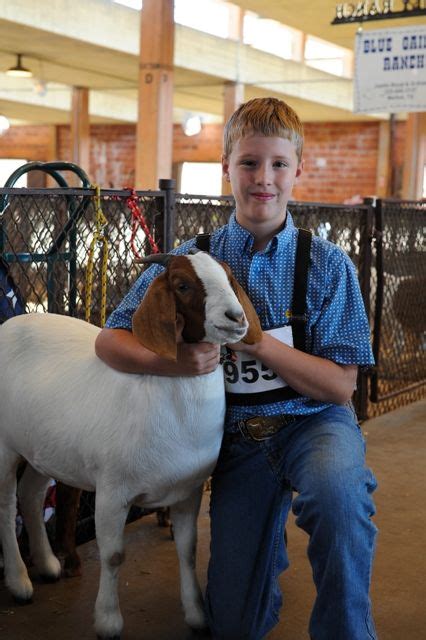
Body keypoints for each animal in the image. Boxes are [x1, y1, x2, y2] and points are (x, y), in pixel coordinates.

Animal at [0, 252, 260, 640]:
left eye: (230, 277)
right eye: (182, 285)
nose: (236, 317)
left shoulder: (188, 491)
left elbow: (188, 550)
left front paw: (197, 615)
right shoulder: (112, 492)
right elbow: (113, 556)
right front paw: (108, 622)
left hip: (45, 448)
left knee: (30, 495)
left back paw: (47, 566)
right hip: (4, 447)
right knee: (6, 506)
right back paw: (19, 583)